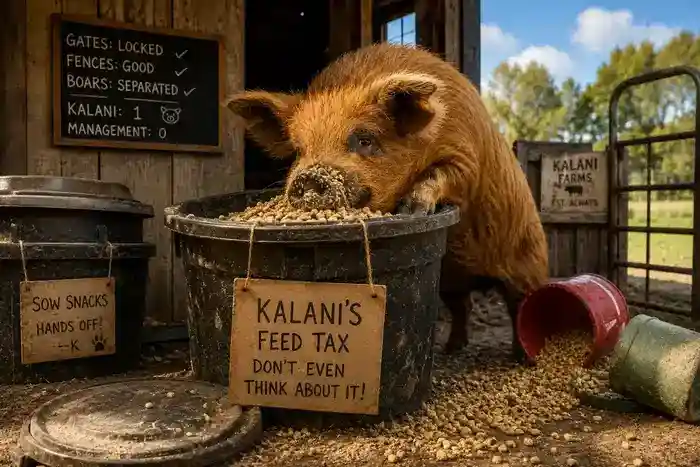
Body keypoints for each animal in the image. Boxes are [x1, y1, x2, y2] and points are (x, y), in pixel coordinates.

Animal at [225, 43, 549, 359]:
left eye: (364, 139)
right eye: (298, 150)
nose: (310, 176)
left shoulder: (465, 157)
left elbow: (443, 173)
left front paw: (413, 210)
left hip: (530, 260)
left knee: (521, 304)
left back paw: (522, 358)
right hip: (450, 282)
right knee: (463, 307)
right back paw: (452, 349)